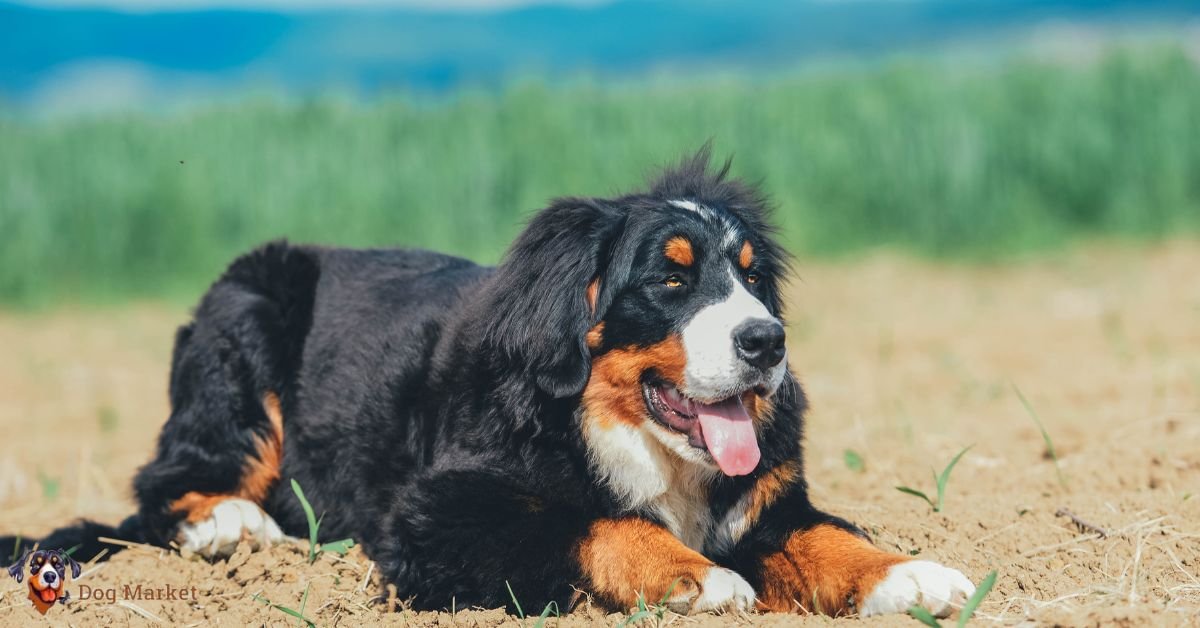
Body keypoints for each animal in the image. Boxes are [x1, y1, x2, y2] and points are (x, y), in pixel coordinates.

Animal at [2, 148, 974, 619]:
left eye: (751, 279)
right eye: (670, 279)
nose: (767, 342)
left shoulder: (767, 505)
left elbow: (828, 539)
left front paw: (918, 579)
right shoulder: (437, 513)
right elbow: (590, 521)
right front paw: (695, 580)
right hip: (243, 320)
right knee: (165, 484)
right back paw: (233, 528)